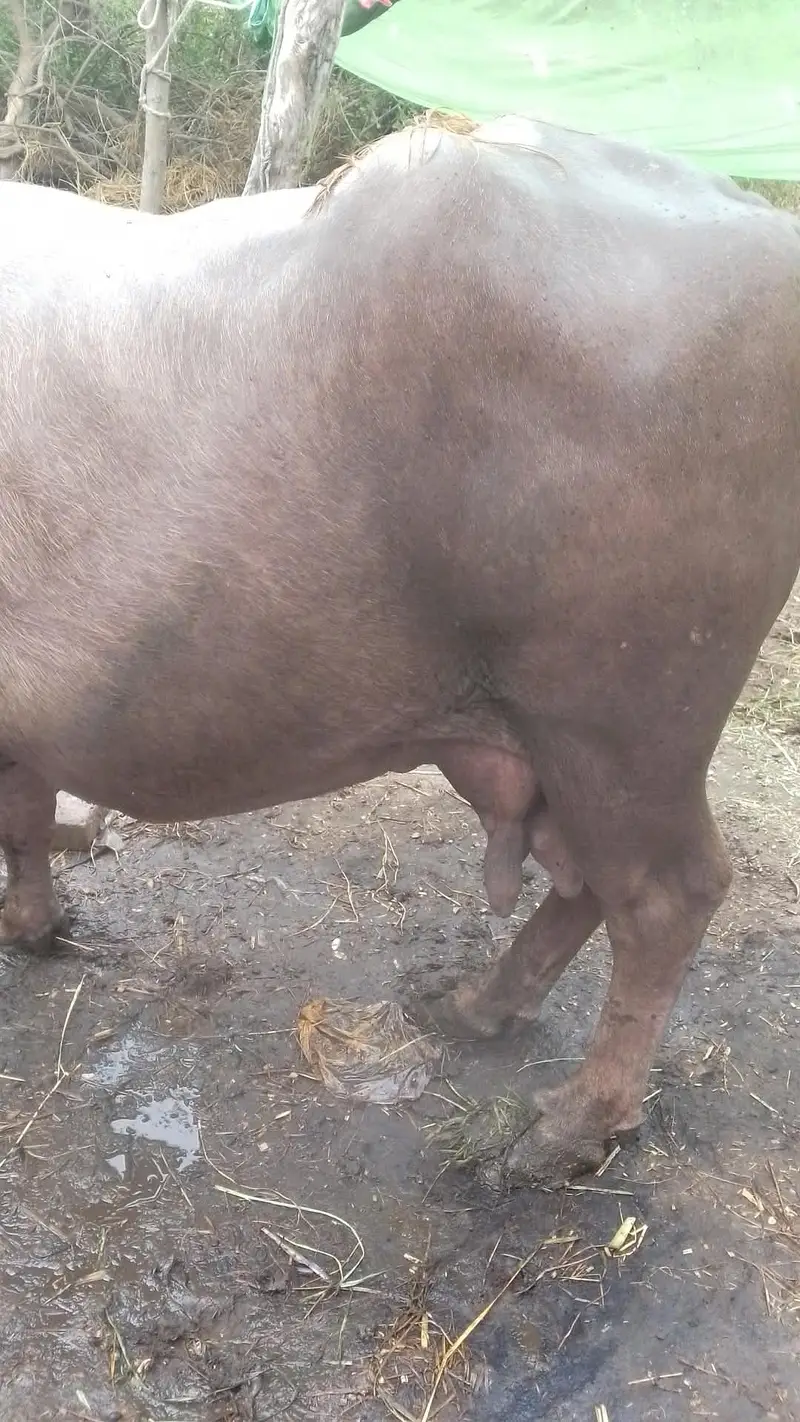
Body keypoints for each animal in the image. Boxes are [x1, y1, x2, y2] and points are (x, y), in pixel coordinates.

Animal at [1, 116, 799, 1186]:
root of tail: (758, 221)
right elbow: (25, 817)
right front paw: (34, 927)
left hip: (623, 717)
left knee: (665, 897)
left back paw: (566, 1129)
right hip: (551, 733)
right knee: (588, 883)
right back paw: (475, 1006)